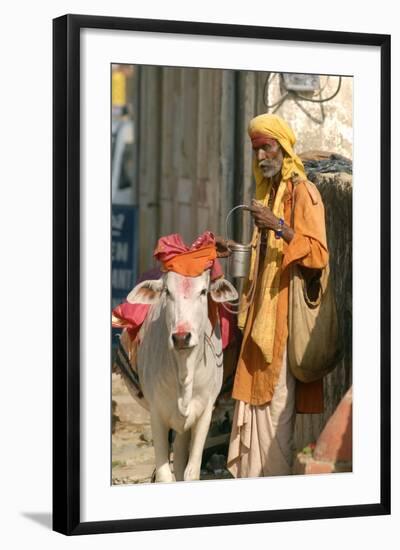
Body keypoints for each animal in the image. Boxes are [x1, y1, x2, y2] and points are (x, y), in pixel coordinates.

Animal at [126, 270, 238, 484]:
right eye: (167, 292)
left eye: (203, 291)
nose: (181, 337)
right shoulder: (156, 414)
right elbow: (163, 475)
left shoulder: (205, 412)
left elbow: (191, 472)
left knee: (179, 458)